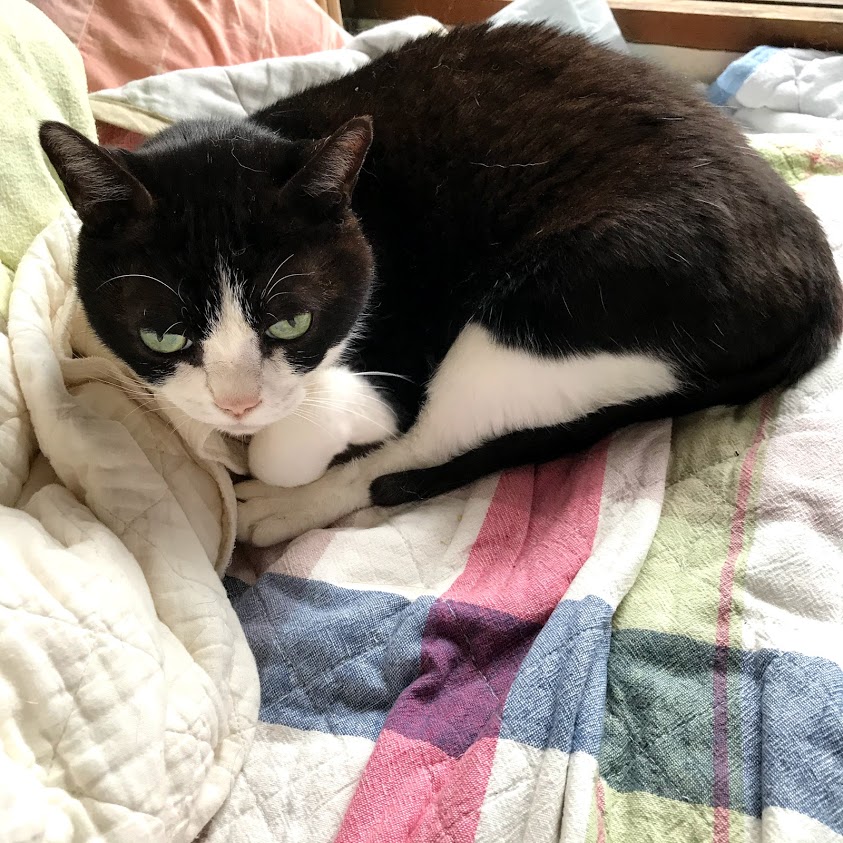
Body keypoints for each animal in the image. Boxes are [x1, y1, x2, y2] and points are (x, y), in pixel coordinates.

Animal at [39, 23, 842, 546]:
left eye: (293, 322)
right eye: (162, 333)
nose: (238, 404)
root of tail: (821, 289)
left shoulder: (399, 354)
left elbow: (319, 431)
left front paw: (280, 452)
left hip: (558, 300)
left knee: (424, 447)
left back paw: (289, 505)